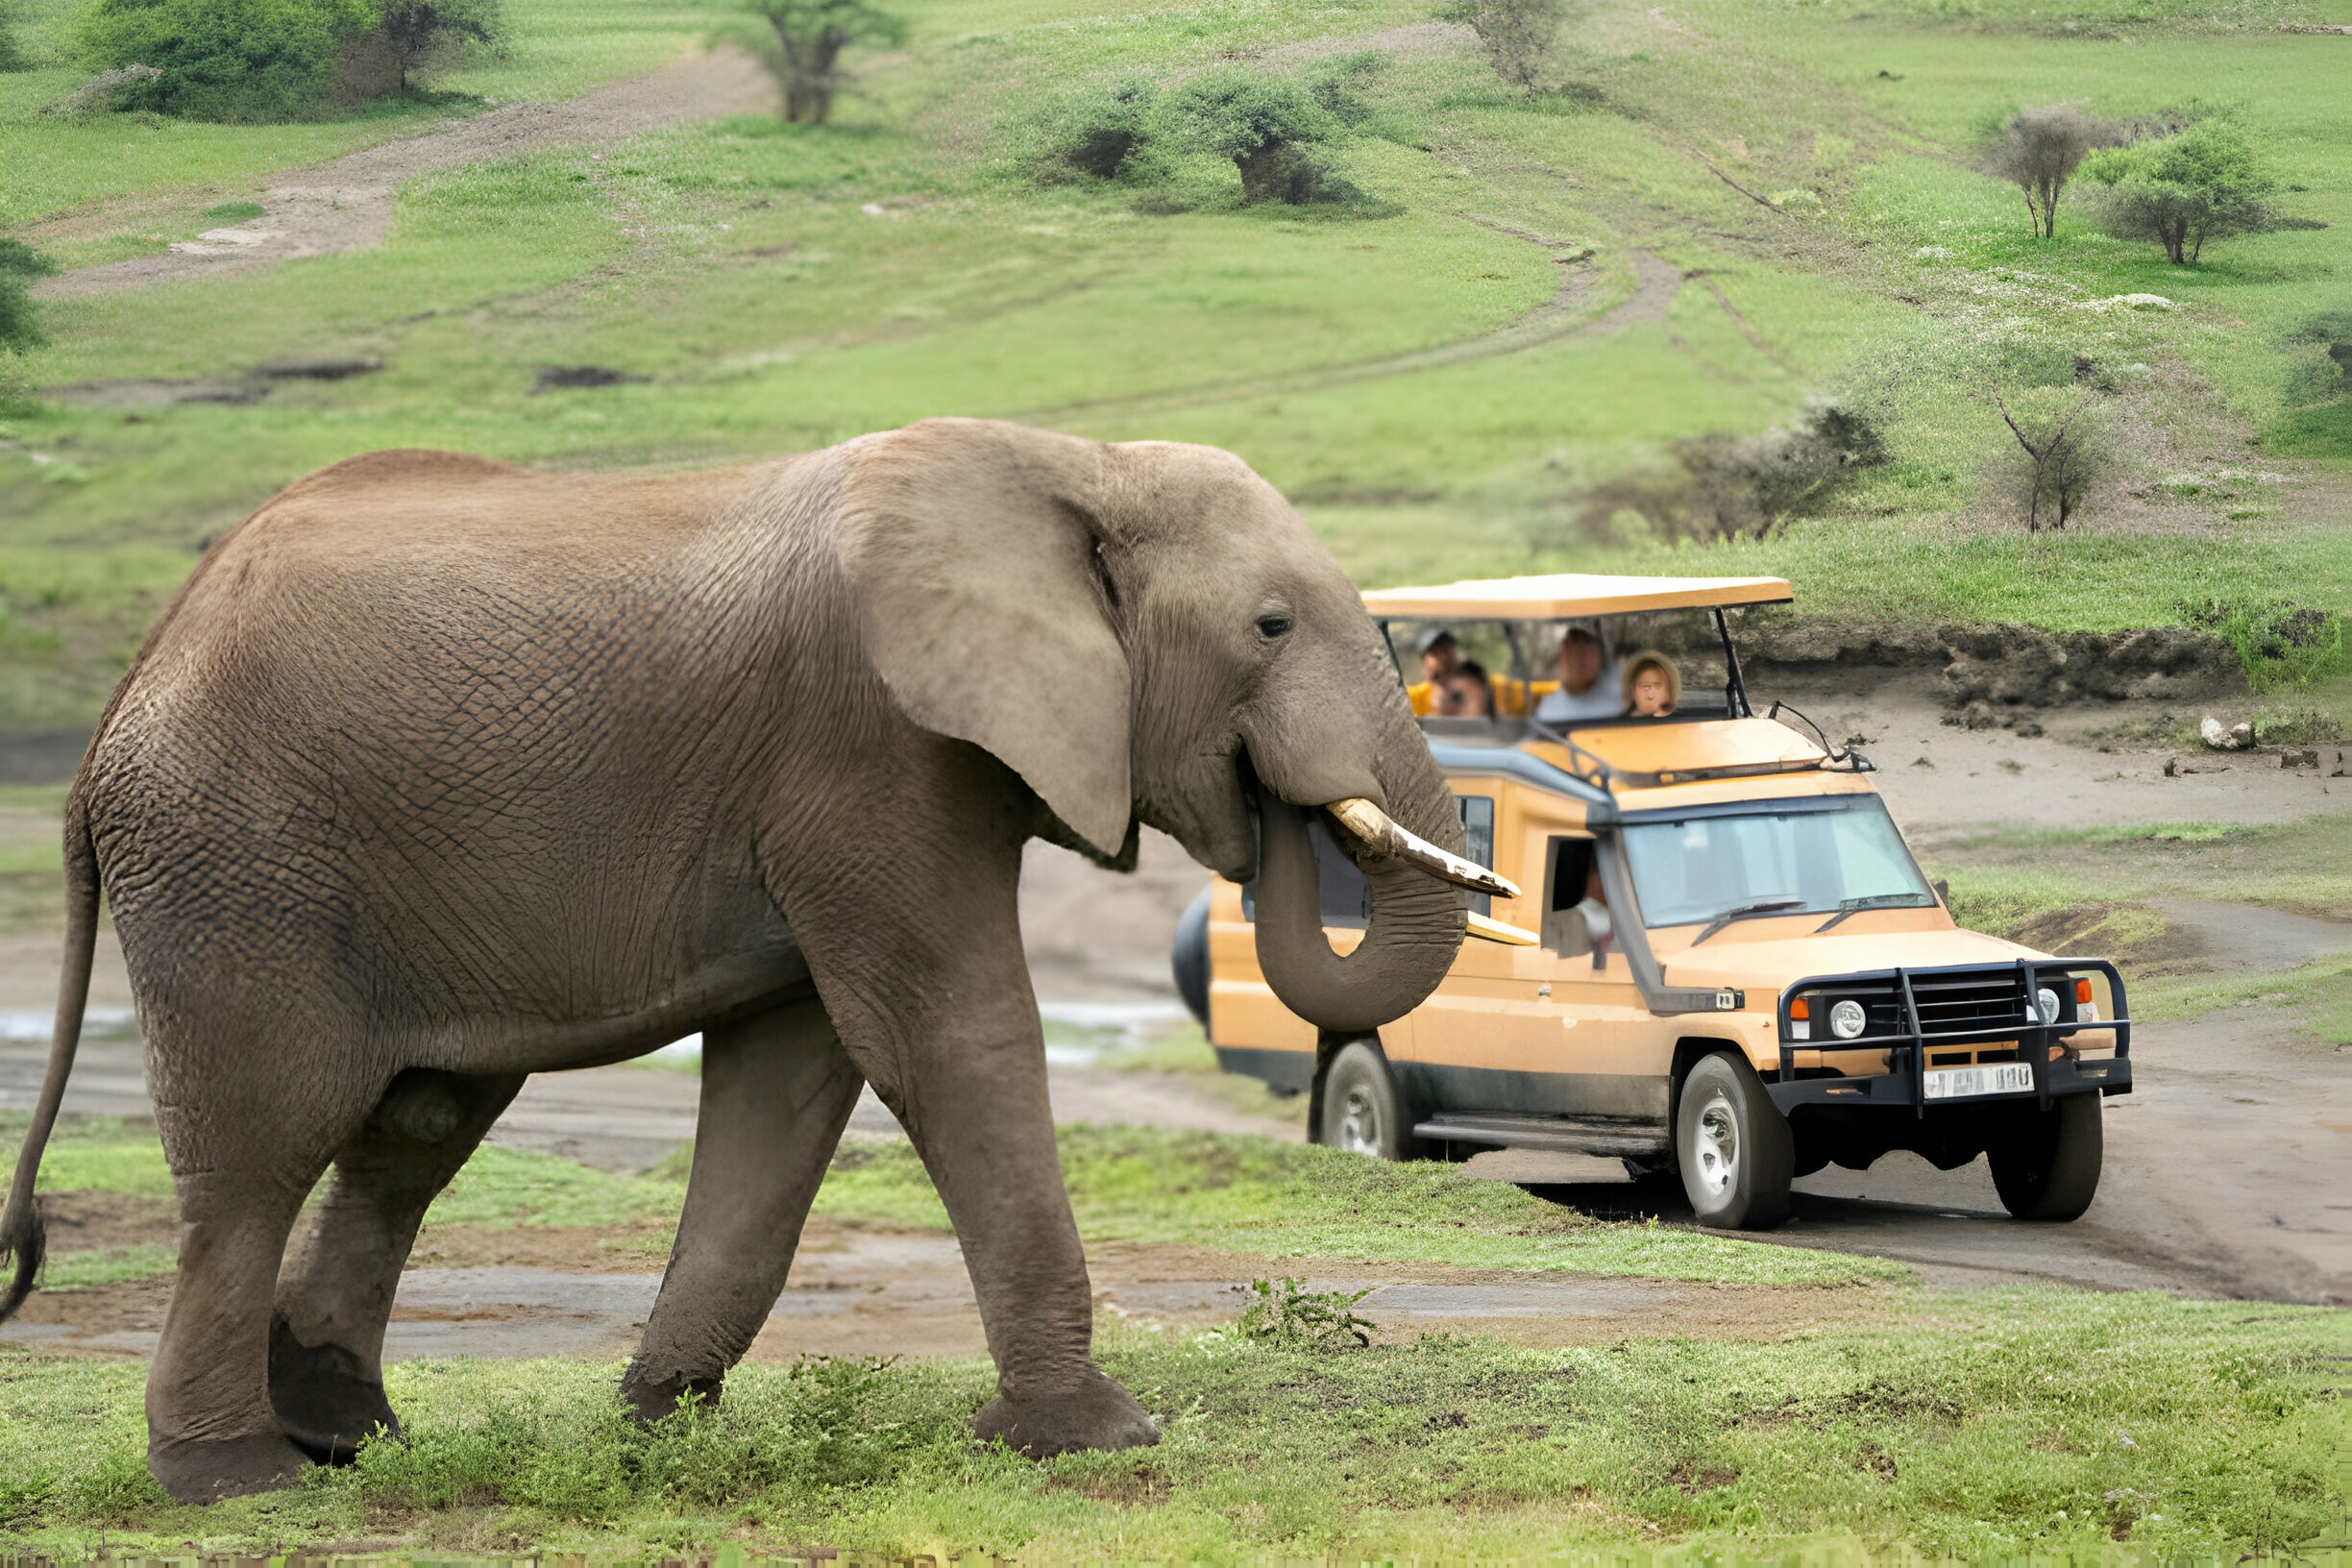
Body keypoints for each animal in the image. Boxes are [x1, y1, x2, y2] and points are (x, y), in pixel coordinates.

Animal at [0, 420, 1486, 1504]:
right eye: (1272, 627)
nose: (1281, 812)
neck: (1076, 464)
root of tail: (128, 690)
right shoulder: (872, 751)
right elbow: (950, 1041)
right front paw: (1101, 1437)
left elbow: (792, 1080)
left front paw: (657, 1430)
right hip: (235, 870)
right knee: (260, 1154)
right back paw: (236, 1482)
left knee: (410, 1132)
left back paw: (353, 1441)